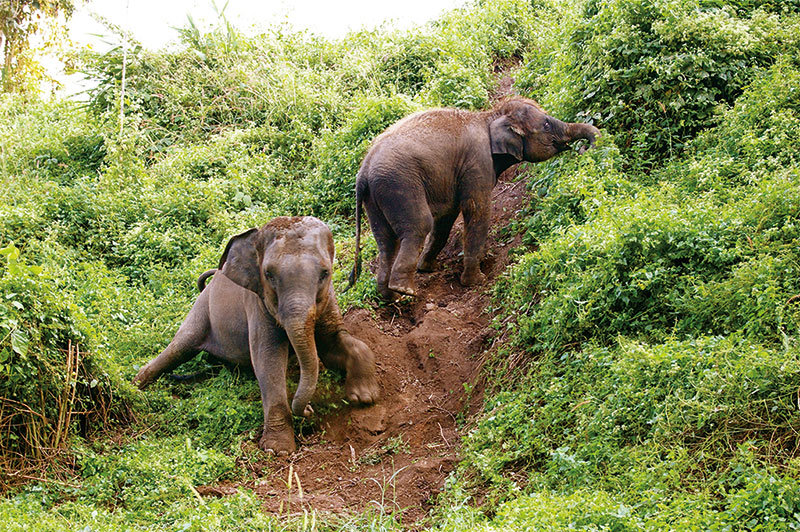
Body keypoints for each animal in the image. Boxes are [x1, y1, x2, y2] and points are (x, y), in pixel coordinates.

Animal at [134, 215, 382, 454]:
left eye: (325, 273)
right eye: (268, 274)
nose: (309, 409)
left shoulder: (328, 297)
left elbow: (334, 344)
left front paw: (364, 396)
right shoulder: (257, 303)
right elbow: (267, 360)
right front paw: (277, 449)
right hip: (201, 309)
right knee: (180, 346)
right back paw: (136, 385)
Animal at [346, 95, 596, 300]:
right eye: (545, 124)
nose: (585, 148)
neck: (490, 115)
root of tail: (362, 172)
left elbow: (447, 217)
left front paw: (427, 268)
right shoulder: (477, 162)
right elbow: (477, 210)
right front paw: (476, 281)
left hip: (375, 197)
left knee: (386, 240)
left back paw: (389, 295)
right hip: (399, 185)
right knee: (419, 225)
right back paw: (405, 290)